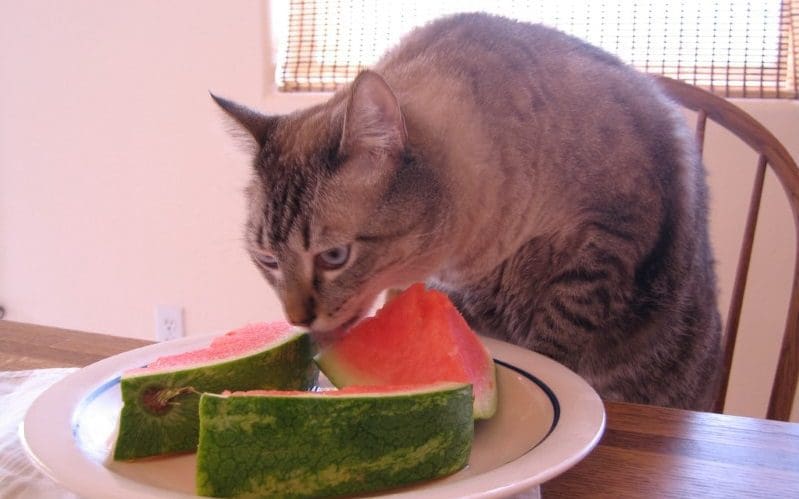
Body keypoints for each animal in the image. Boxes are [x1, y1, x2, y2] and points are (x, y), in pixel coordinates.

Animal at [212, 12, 724, 410]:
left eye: (334, 257)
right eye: (268, 261)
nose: (298, 320)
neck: (470, 255)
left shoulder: (606, 240)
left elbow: (556, 339)